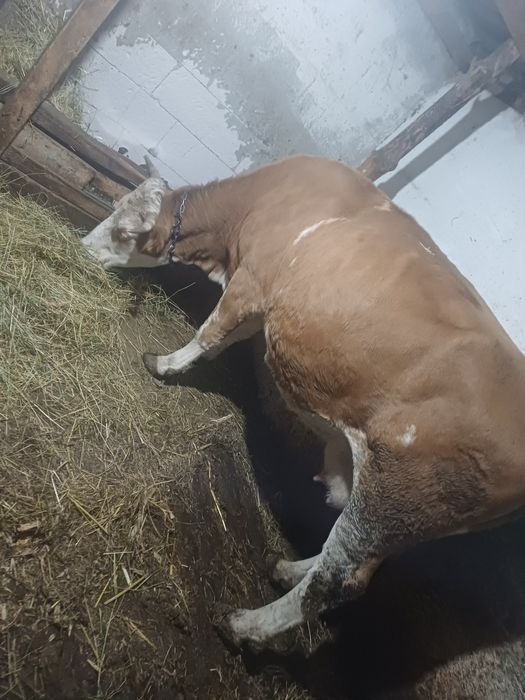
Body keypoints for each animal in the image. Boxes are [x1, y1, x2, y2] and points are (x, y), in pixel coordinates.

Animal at [82, 154, 525, 649]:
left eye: (124, 230)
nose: (83, 247)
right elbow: (226, 338)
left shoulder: (252, 281)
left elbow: (210, 333)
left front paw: (164, 364)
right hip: (404, 513)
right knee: (349, 558)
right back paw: (286, 568)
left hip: (394, 497)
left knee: (339, 579)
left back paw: (245, 625)